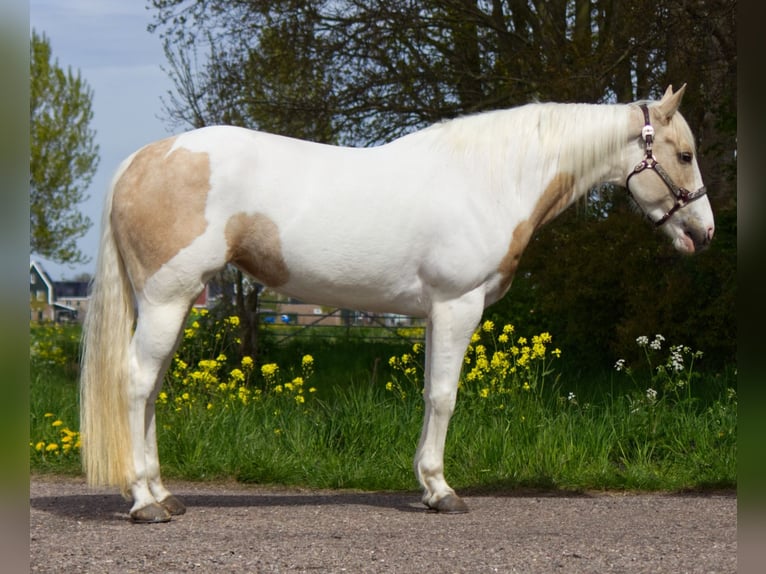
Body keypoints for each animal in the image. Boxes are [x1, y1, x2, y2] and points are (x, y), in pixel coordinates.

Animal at [80, 85, 714, 522]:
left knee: (152, 389)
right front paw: (442, 490)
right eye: (683, 154)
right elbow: (443, 397)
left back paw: (164, 494)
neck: (492, 179)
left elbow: (431, 393)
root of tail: (141, 160)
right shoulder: (459, 305)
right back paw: (144, 502)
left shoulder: (436, 313)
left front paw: (428, 486)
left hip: (174, 303)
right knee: (136, 382)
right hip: (166, 299)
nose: (703, 234)